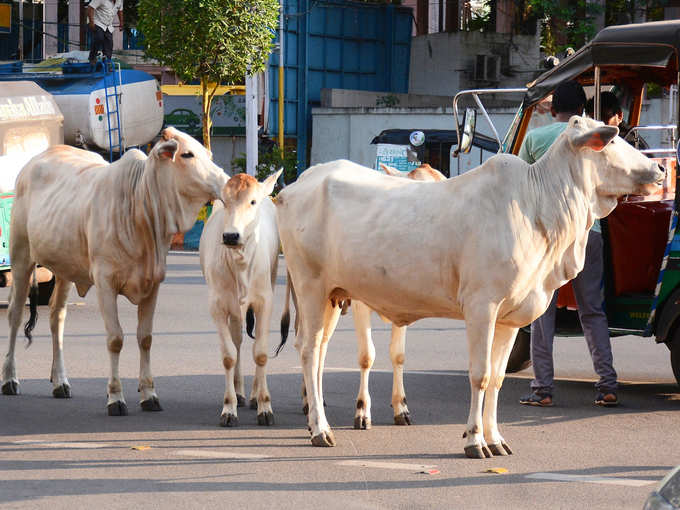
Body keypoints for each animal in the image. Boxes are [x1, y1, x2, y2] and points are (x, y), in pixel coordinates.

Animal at [0, 126, 230, 414]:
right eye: (187, 154)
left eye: (208, 155)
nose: (227, 182)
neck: (140, 205)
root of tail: (35, 160)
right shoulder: (105, 283)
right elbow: (115, 339)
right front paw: (115, 397)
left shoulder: (153, 284)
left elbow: (145, 338)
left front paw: (149, 394)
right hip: (21, 256)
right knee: (15, 314)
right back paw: (10, 378)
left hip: (64, 269)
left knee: (56, 317)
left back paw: (60, 381)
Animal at [198, 170, 282, 426]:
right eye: (225, 201)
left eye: (252, 201)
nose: (231, 236)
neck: (241, 262)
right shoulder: (217, 306)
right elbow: (229, 356)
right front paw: (229, 408)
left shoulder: (265, 302)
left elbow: (261, 353)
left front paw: (265, 406)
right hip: (234, 310)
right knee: (237, 341)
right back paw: (240, 392)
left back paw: (253, 395)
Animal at [274, 117, 664, 456]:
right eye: (610, 141)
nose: (659, 169)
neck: (537, 206)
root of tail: (295, 185)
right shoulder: (481, 308)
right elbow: (479, 375)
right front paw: (475, 440)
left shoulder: (509, 318)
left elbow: (497, 378)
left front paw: (496, 438)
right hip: (310, 287)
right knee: (308, 350)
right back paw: (320, 429)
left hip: (332, 295)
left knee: (320, 352)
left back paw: (316, 420)